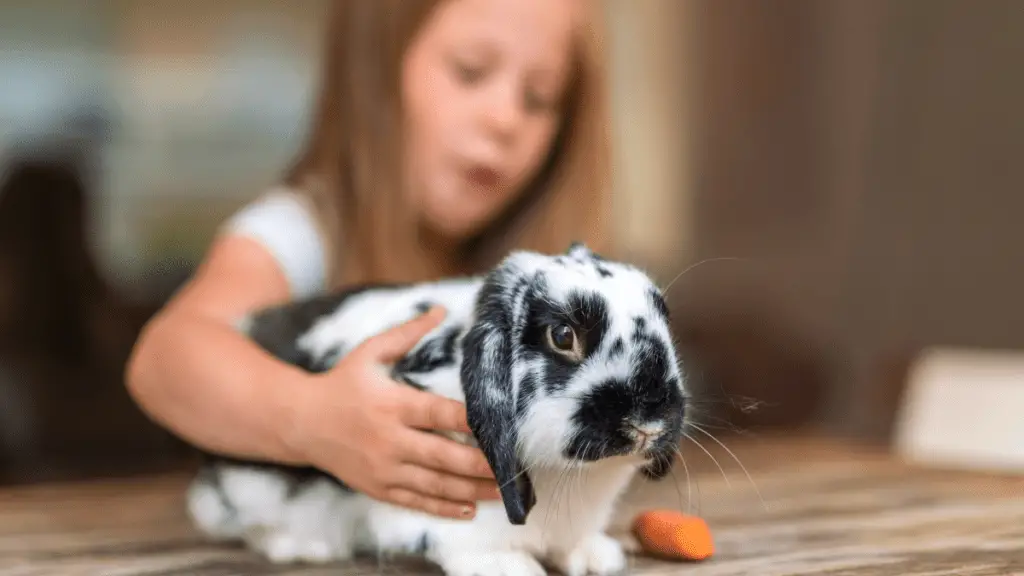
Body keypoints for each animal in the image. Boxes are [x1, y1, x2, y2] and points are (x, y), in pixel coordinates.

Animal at [184, 240, 688, 573]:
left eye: (666, 320)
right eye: (563, 336)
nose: (648, 420)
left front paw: (594, 558)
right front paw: (511, 569)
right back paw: (303, 547)